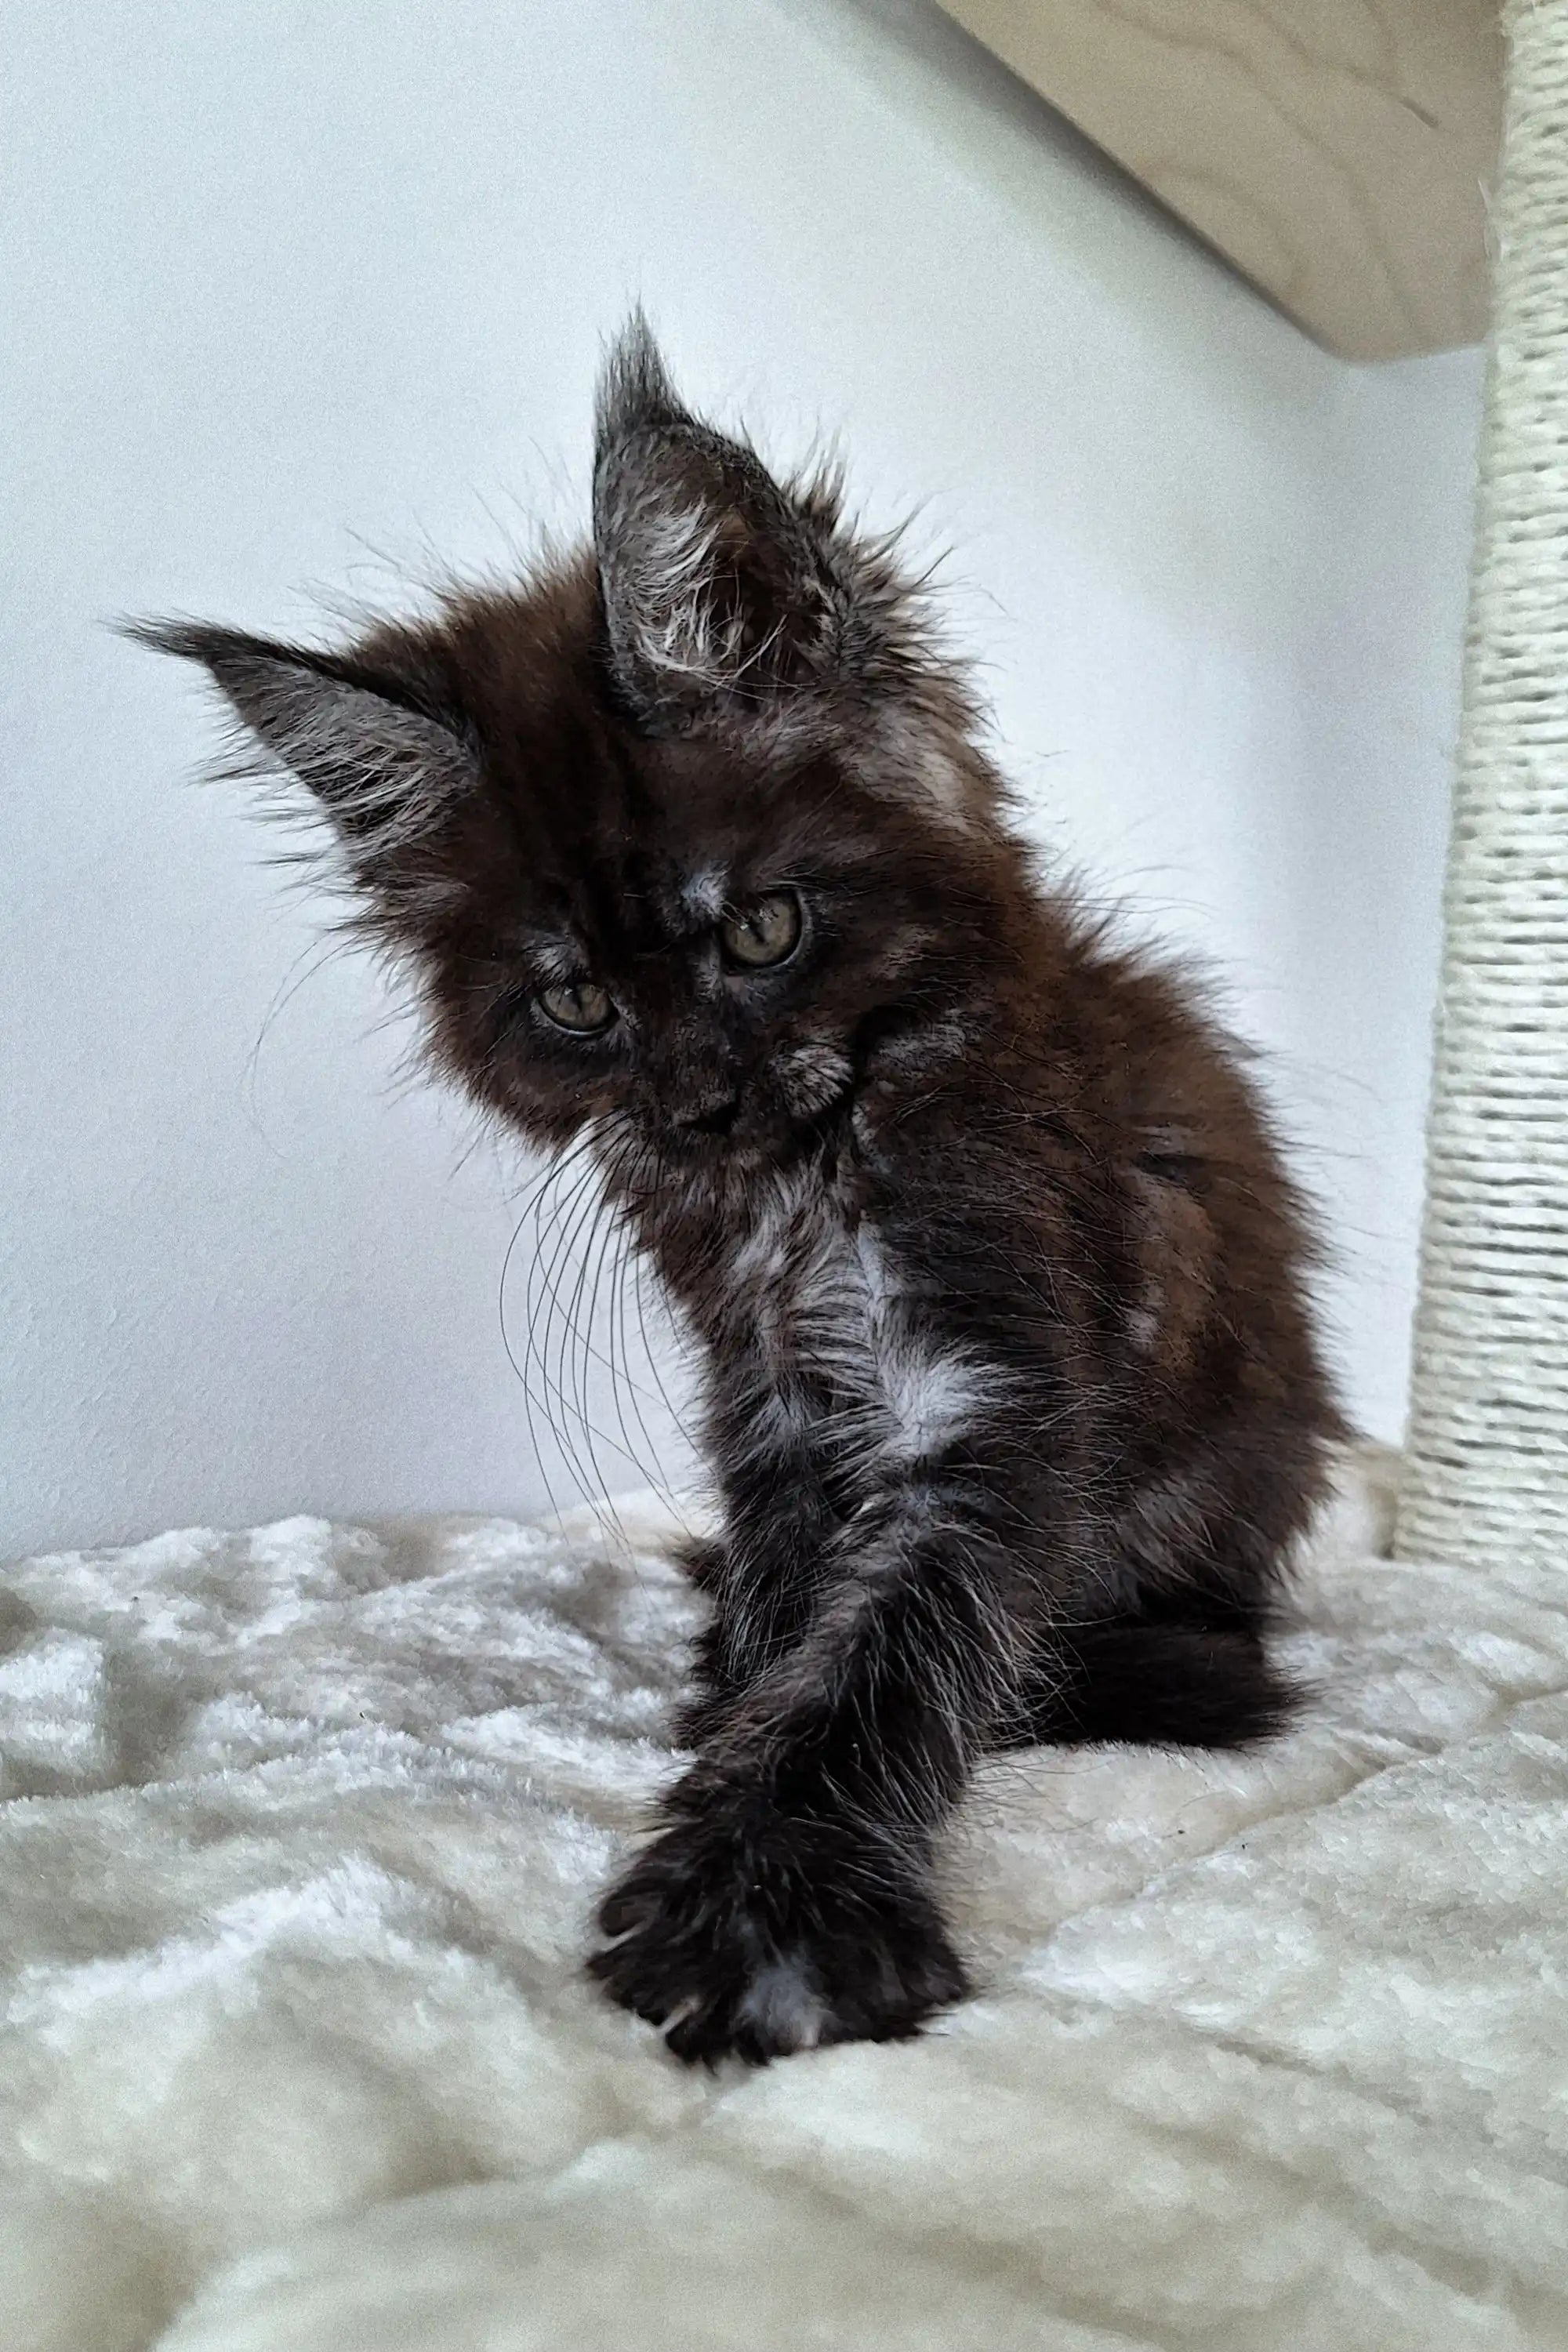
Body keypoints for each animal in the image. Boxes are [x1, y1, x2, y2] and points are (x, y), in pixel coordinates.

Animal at [138, 318, 1335, 2060]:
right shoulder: (760, 1380)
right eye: (576, 1003)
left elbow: (892, 1646)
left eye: (762, 932)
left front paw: (765, 1907)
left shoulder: (988, 1374)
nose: (696, 1101)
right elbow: (791, 1584)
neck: (798, 1190)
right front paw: (732, 1715)